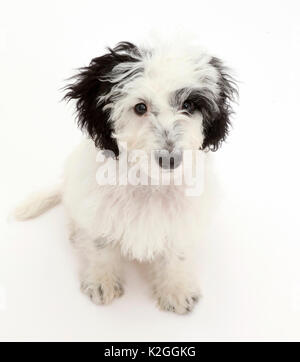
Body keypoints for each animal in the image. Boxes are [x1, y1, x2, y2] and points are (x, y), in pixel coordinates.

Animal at [15, 39, 237, 314]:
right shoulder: (97, 206)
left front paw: (176, 288)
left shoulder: (184, 215)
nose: (171, 159)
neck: (149, 180)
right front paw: (102, 280)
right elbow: (100, 245)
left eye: (188, 105)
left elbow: (177, 251)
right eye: (140, 107)